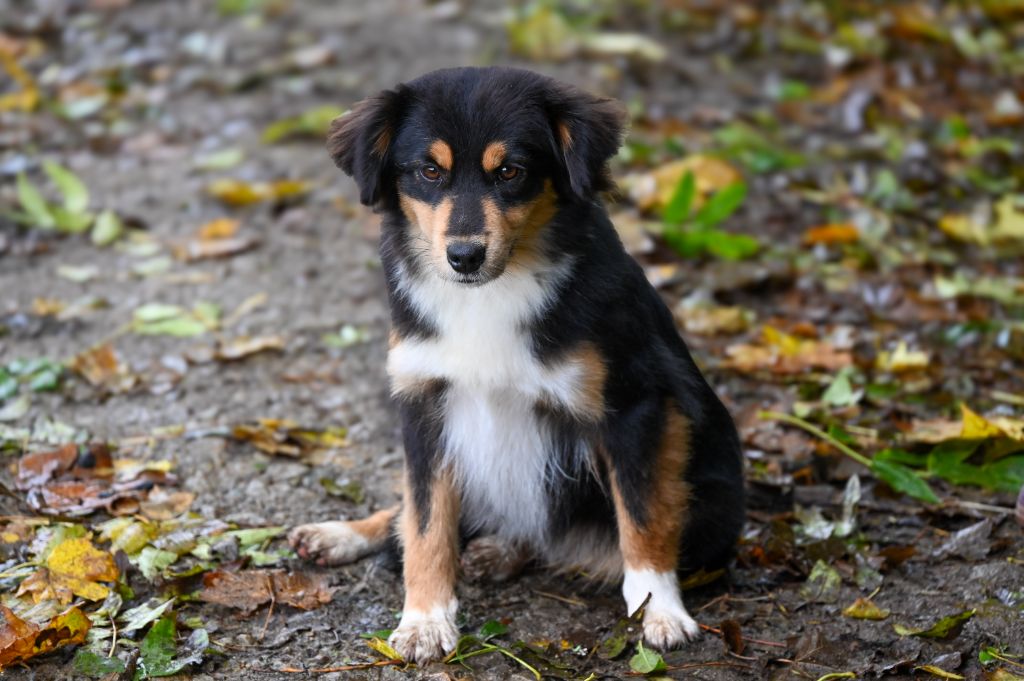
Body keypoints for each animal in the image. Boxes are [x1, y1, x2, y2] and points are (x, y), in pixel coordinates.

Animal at [288, 66, 745, 659]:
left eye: (510, 171)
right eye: (429, 171)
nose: (464, 256)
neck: (492, 291)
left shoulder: (636, 405)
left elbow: (643, 518)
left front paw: (661, 612)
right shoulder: (423, 402)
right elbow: (425, 523)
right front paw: (424, 621)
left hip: (711, 503)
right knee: (409, 514)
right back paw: (340, 534)